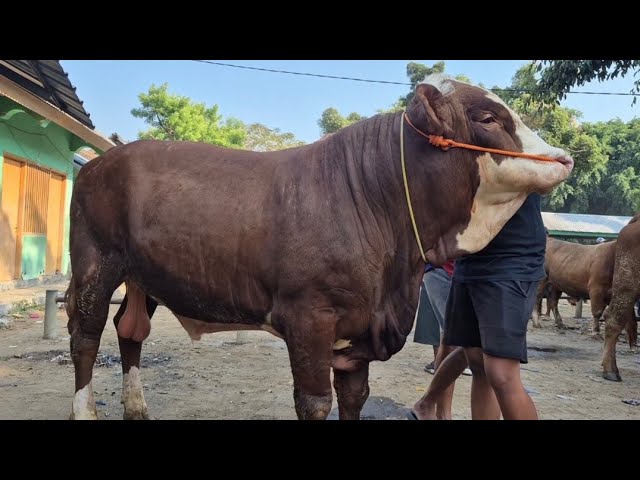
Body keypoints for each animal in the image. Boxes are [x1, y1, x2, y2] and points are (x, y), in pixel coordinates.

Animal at [65, 75, 574, 420]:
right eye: (487, 117)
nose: (563, 157)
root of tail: (101, 161)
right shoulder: (308, 317)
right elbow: (313, 401)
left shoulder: (358, 332)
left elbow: (354, 397)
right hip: (95, 266)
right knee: (85, 337)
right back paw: (85, 409)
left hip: (142, 277)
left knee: (130, 331)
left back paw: (136, 407)